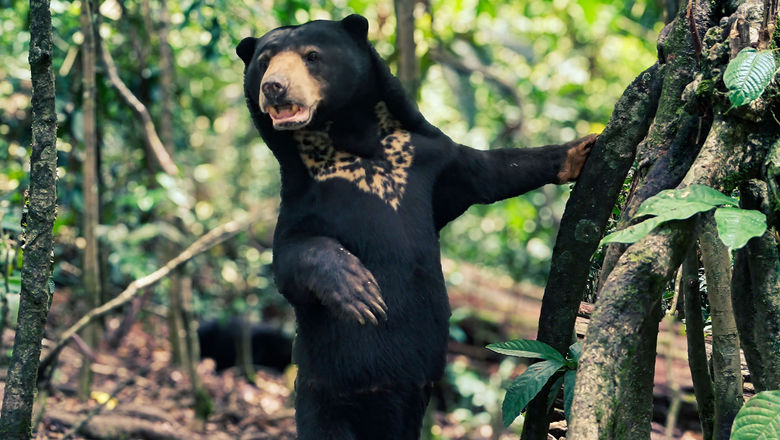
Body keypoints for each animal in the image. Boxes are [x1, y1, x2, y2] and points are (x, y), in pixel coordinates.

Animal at [237, 14, 595, 440]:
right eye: (264, 62)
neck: (353, 141)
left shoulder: (430, 158)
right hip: (319, 388)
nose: (273, 87)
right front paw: (361, 293)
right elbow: (289, 256)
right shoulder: (304, 196)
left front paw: (582, 148)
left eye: (312, 56)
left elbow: (488, 173)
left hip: (410, 398)